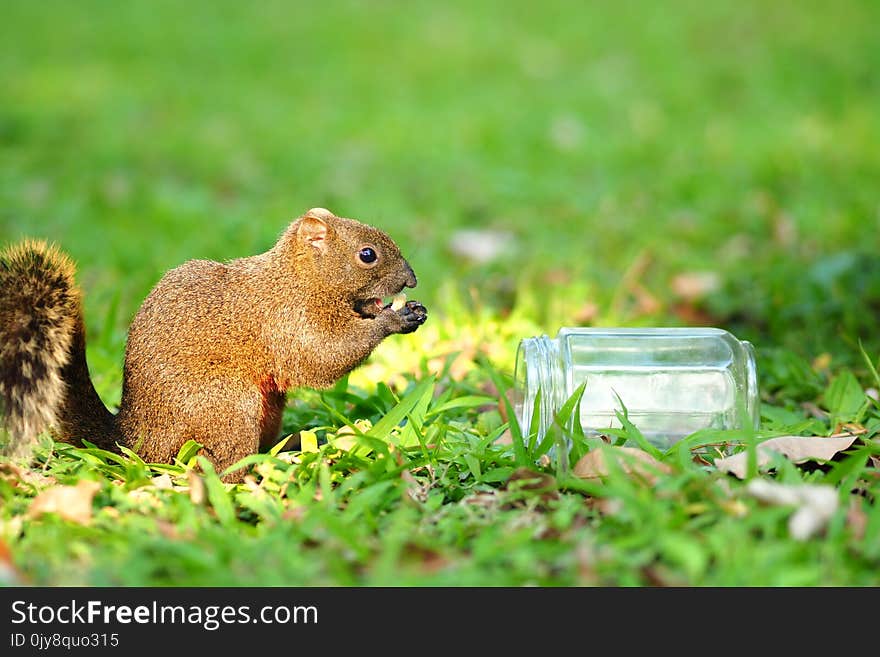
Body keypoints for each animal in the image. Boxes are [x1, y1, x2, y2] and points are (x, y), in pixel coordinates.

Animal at [0, 209, 426, 482]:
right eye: (367, 255)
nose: (412, 280)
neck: (297, 278)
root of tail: (133, 441)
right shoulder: (288, 320)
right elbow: (322, 358)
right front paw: (394, 319)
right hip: (227, 409)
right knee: (216, 465)